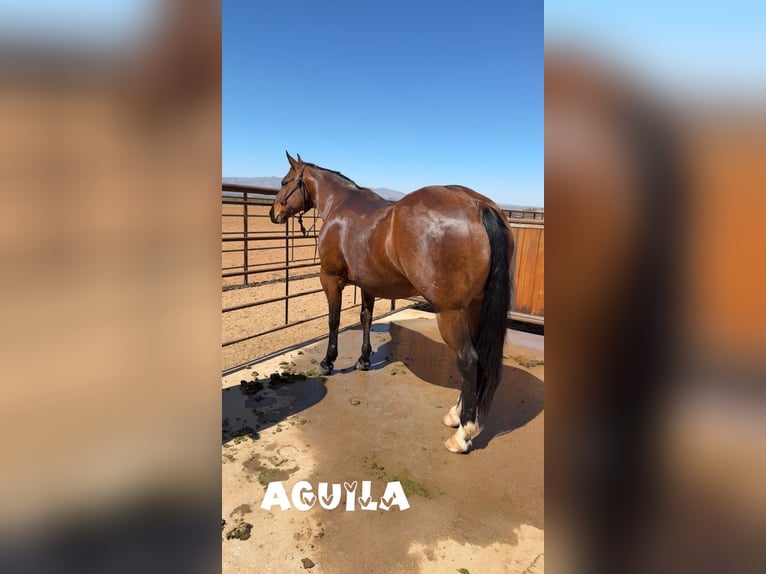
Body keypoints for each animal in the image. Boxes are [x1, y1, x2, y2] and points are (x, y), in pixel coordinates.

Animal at [269, 152, 514, 453]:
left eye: (285, 182)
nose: (273, 213)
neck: (339, 205)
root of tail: (478, 205)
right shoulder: (367, 284)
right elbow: (365, 317)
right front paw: (363, 359)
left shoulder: (330, 279)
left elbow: (334, 320)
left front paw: (328, 362)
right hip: (475, 308)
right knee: (477, 359)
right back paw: (455, 415)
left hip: (451, 312)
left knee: (468, 360)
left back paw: (462, 433)